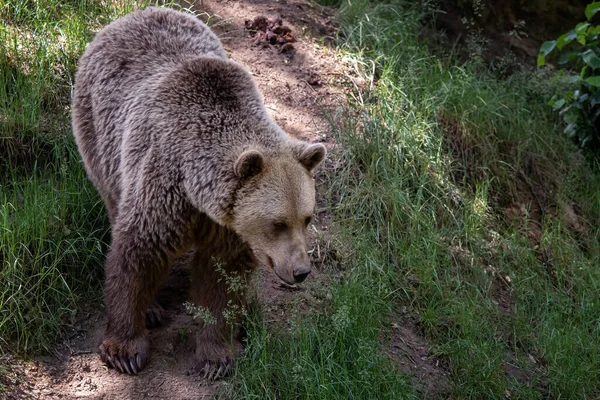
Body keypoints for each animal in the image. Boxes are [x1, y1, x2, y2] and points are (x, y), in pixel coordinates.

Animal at [72, 7, 326, 378]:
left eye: (306, 218)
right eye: (277, 223)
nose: (301, 271)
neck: (197, 190)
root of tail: (136, 14)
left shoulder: (229, 222)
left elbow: (222, 279)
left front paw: (216, 355)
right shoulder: (164, 183)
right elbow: (137, 253)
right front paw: (124, 349)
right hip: (99, 135)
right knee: (113, 199)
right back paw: (152, 308)